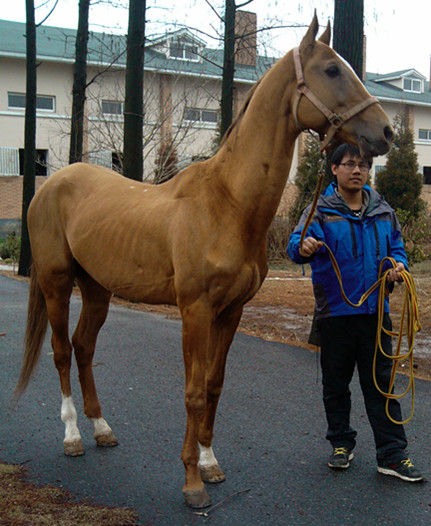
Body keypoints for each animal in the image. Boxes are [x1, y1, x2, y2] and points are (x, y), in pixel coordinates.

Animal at [16, 15, 394, 512]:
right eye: (332, 70)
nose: (386, 132)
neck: (227, 204)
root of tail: (49, 185)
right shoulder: (194, 310)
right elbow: (193, 392)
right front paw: (192, 482)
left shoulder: (230, 311)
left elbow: (214, 385)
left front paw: (211, 464)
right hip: (57, 283)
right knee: (61, 351)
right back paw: (73, 436)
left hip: (97, 288)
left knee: (83, 348)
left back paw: (102, 430)